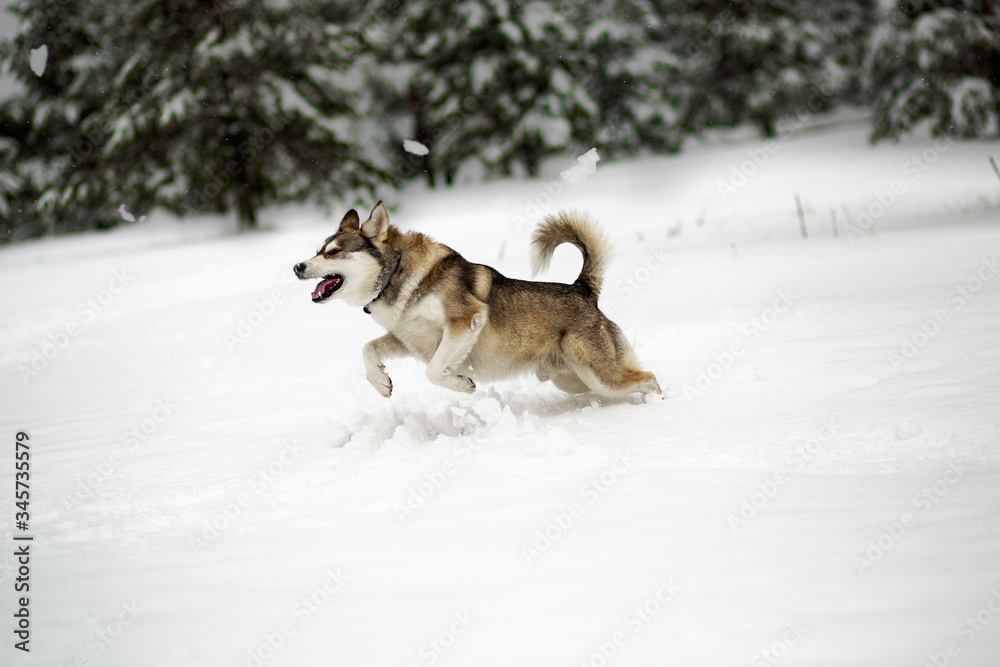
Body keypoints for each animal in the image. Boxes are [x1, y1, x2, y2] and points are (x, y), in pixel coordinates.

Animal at [292, 201, 660, 400]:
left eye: (334, 252)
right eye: (317, 250)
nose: (297, 267)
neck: (397, 273)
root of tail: (583, 289)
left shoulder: (465, 320)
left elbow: (433, 370)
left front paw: (461, 384)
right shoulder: (407, 338)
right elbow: (368, 349)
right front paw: (381, 383)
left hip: (599, 376)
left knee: (650, 378)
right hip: (572, 381)